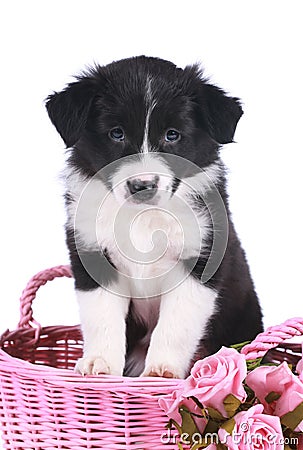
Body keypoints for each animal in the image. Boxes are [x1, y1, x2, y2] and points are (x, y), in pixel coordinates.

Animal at [46, 57, 264, 380]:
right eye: (116, 133)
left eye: (172, 135)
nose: (142, 185)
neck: (143, 217)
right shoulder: (91, 253)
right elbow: (102, 316)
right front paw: (100, 363)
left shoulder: (200, 259)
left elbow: (175, 324)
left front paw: (163, 370)